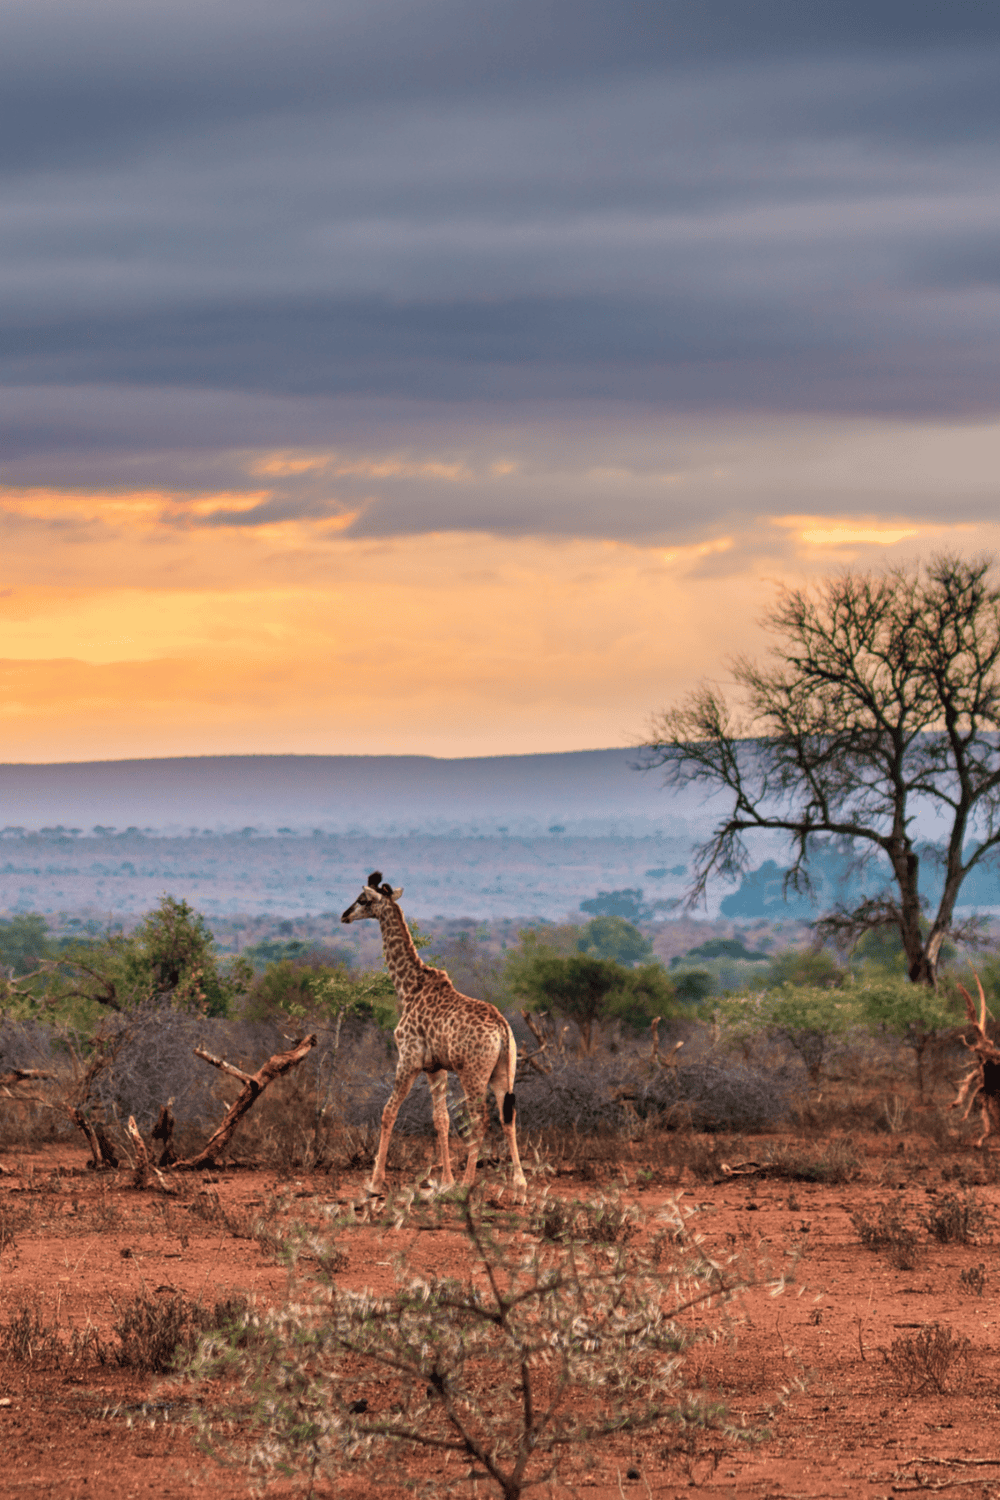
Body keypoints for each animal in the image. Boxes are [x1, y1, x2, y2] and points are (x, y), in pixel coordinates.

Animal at [341, 872, 527, 1201]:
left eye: (362, 899)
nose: (344, 915)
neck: (408, 987)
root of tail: (503, 1029)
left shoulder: (409, 1059)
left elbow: (388, 1112)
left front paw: (375, 1184)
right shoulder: (435, 1067)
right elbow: (441, 1119)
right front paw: (446, 1182)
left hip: (472, 1072)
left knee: (480, 1119)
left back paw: (468, 1185)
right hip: (504, 1071)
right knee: (509, 1117)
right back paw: (519, 1188)